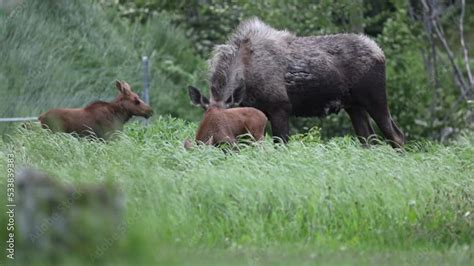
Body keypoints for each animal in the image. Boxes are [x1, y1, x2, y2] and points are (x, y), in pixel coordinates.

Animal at [191, 17, 406, 149]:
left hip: (375, 99)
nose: (202, 142)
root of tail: (380, 52)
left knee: (396, 135)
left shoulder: (280, 108)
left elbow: (281, 145)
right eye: (205, 116)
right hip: (354, 106)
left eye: (221, 120)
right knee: (369, 140)